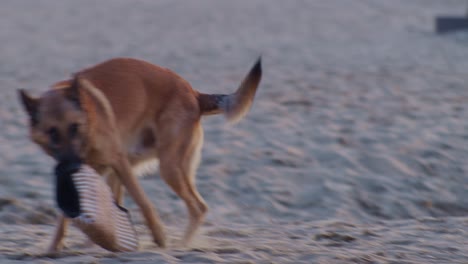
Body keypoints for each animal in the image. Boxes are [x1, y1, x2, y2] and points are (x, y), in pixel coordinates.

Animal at [18, 57, 262, 252]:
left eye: (74, 127)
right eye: (52, 132)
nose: (71, 166)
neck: (89, 121)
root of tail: (193, 93)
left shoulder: (118, 163)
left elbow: (144, 203)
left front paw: (160, 238)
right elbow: (64, 219)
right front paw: (53, 248)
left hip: (168, 168)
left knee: (198, 208)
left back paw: (182, 245)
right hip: (134, 167)